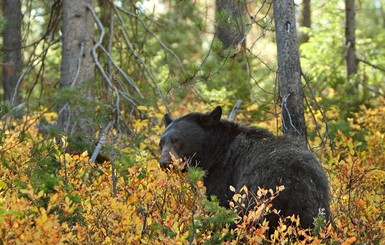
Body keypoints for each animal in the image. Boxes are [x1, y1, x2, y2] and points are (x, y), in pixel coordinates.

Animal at [159, 106, 330, 231]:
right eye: (161, 142)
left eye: (177, 140)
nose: (164, 162)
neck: (216, 151)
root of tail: (296, 183)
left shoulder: (224, 176)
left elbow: (219, 202)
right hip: (317, 207)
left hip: (256, 198)